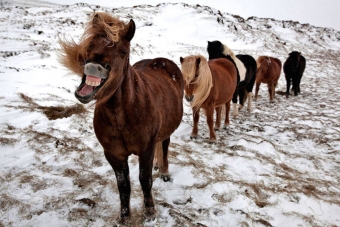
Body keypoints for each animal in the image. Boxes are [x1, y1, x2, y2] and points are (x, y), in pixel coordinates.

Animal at [59, 12, 185, 223]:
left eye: (124, 52)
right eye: (90, 45)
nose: (94, 67)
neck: (123, 114)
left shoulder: (146, 149)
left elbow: (145, 180)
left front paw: (150, 212)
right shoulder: (113, 154)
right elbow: (123, 185)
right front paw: (124, 217)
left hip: (166, 131)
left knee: (165, 145)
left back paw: (164, 171)